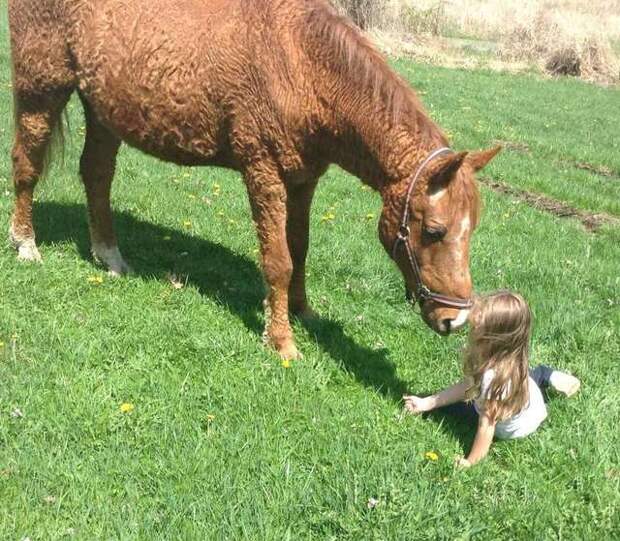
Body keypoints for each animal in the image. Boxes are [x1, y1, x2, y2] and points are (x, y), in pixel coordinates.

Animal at [8, 0, 498, 358]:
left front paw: (301, 310)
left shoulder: (303, 181)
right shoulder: (264, 172)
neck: (301, 63)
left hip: (103, 109)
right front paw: (281, 340)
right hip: (41, 88)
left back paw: (109, 255)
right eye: (433, 231)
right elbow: (278, 261)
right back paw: (25, 243)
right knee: (25, 165)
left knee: (96, 175)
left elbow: (300, 248)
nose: (455, 320)